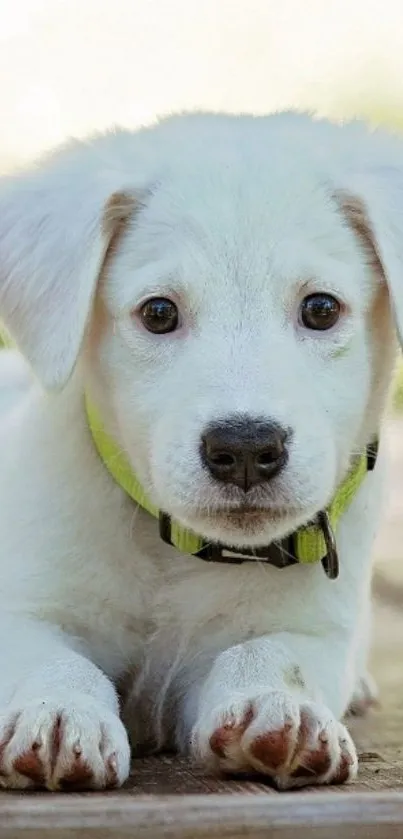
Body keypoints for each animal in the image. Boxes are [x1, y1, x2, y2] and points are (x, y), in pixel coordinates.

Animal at [0, 113, 400, 796]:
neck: (176, 554)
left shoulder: (315, 629)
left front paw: (280, 705)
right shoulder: (24, 604)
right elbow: (49, 657)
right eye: (159, 312)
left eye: (321, 308)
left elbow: (271, 652)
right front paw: (58, 712)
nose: (244, 448)